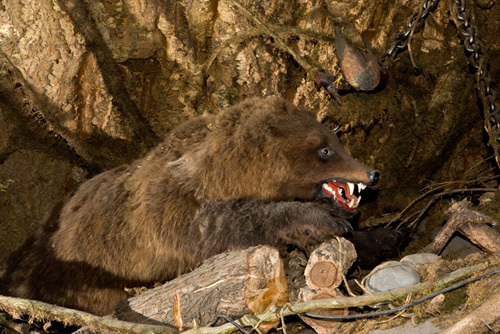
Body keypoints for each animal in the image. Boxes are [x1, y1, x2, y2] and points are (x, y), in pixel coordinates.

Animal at [0, 96, 376, 316]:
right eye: (325, 149)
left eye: (336, 139)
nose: (371, 171)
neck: (224, 175)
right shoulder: (168, 210)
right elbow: (219, 228)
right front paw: (319, 221)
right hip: (67, 266)